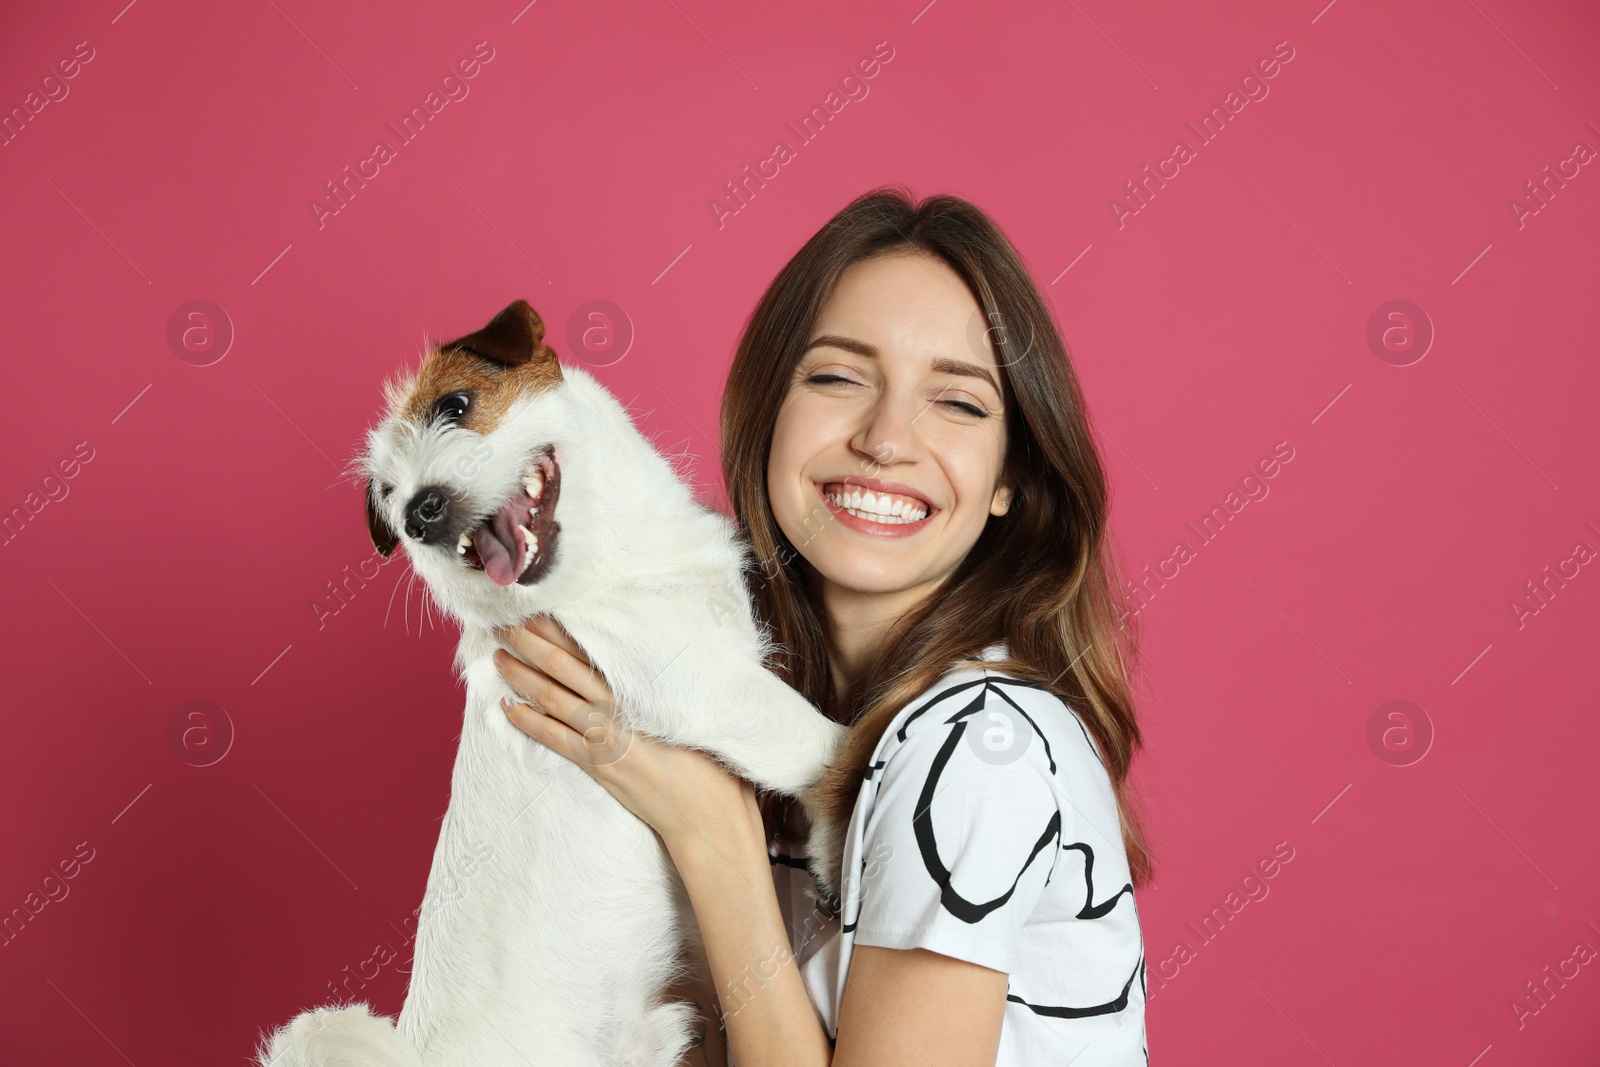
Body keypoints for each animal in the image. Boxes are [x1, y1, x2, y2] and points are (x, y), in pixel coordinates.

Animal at [252, 300, 851, 1067]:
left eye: (455, 405)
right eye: (385, 494)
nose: (417, 512)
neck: (610, 558)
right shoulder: (685, 674)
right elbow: (818, 740)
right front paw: (839, 834)